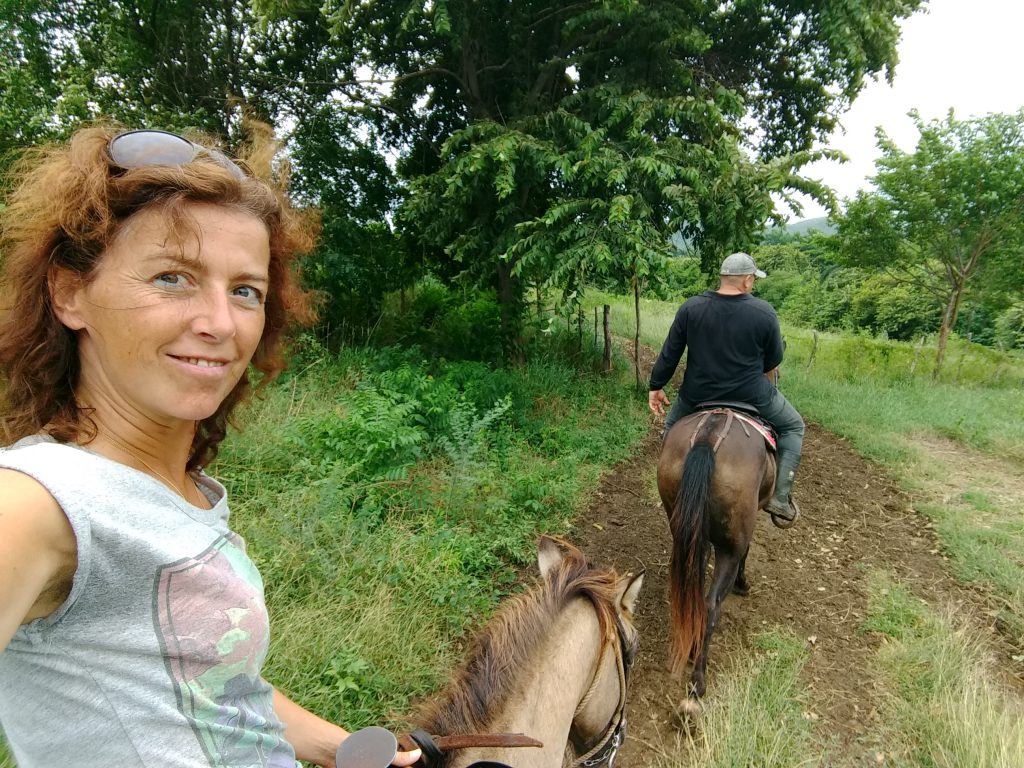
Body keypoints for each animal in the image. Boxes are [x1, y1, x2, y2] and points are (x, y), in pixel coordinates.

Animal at [655, 409, 774, 696]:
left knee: (695, 596)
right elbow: (747, 550)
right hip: (728, 549)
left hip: (685, 529)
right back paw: (698, 678)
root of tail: (708, 437)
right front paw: (743, 584)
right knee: (711, 606)